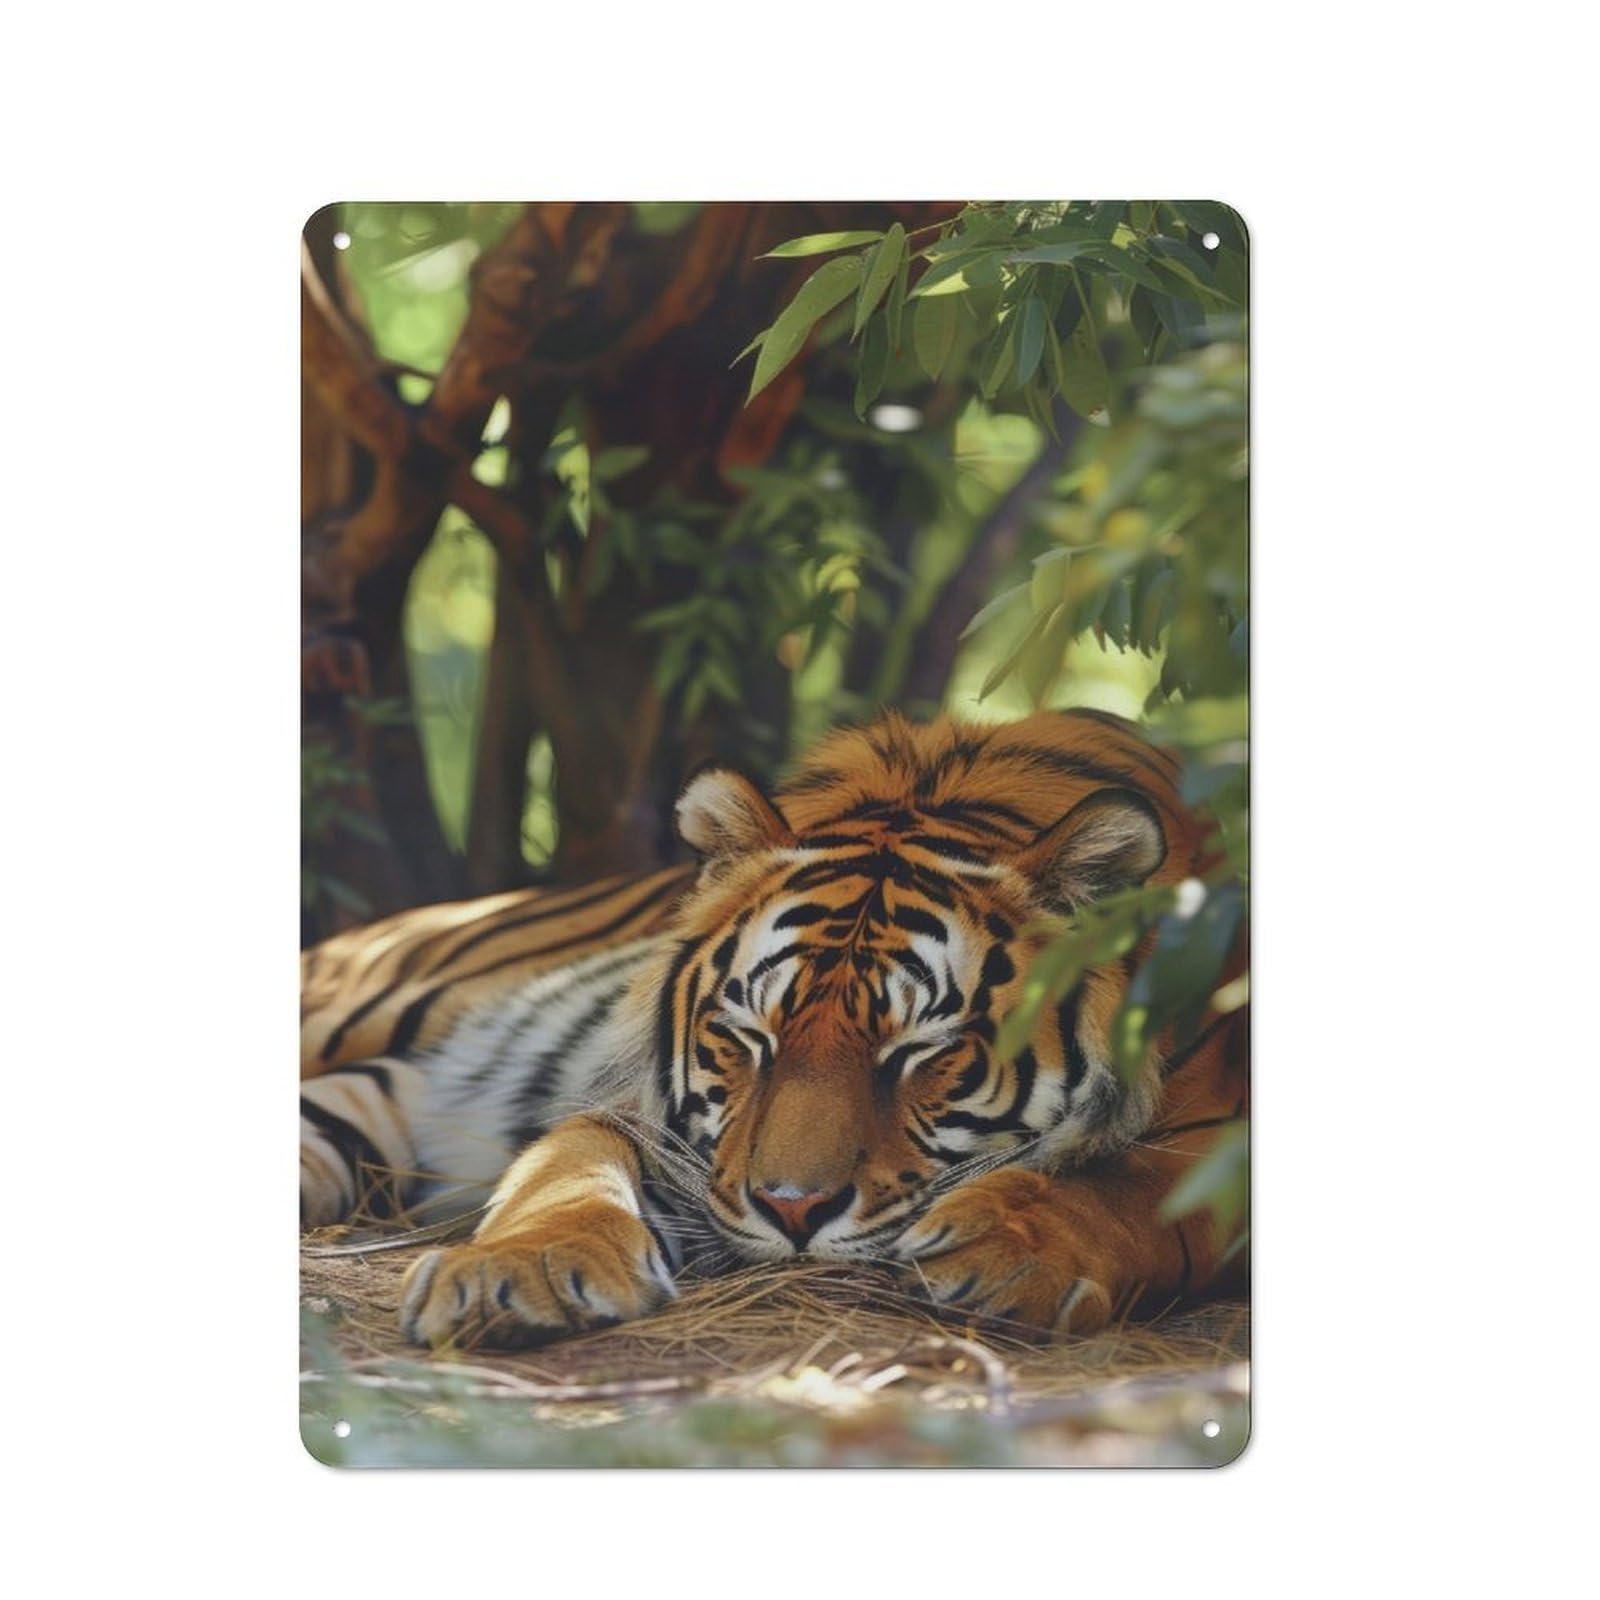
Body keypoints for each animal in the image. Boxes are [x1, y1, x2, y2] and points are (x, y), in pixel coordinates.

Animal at [300, 708, 1247, 1347]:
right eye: (748, 1036)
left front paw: (1008, 1243)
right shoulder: (665, 1137)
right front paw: (516, 1274)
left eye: (920, 1053)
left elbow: (1132, 1189)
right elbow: (565, 1168)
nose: (794, 1211)